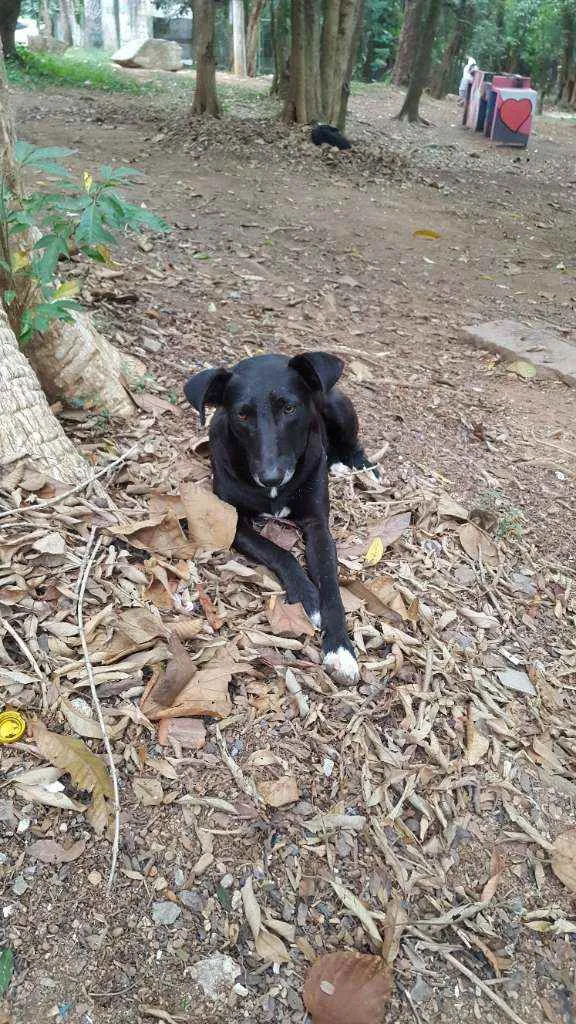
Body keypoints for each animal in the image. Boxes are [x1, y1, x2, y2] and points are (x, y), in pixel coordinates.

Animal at [183, 354, 373, 688]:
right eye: (242, 415)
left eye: (289, 408)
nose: (270, 476)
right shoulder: (232, 523)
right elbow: (281, 553)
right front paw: (308, 598)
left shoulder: (318, 525)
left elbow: (331, 584)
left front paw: (340, 649)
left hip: (337, 405)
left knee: (353, 444)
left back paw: (359, 466)